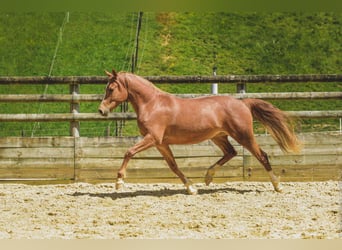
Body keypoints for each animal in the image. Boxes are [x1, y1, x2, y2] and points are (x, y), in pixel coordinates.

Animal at [98, 69, 300, 194]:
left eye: (111, 88)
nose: (101, 110)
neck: (152, 104)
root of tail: (243, 103)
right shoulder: (161, 143)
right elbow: (173, 166)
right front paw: (191, 188)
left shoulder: (152, 138)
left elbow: (129, 152)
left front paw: (119, 182)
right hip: (219, 137)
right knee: (231, 152)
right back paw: (208, 177)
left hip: (244, 136)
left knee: (262, 155)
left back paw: (278, 186)